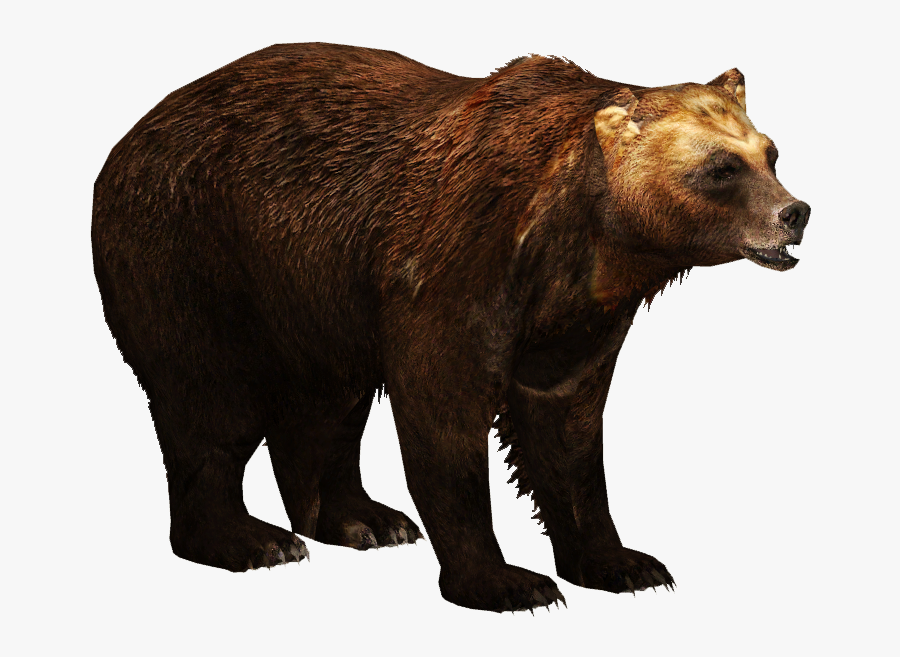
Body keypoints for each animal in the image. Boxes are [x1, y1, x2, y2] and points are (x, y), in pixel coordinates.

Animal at [92, 43, 810, 613]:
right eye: (721, 168)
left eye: (771, 153)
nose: (795, 212)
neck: (587, 232)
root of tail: (128, 138)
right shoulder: (458, 262)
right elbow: (446, 414)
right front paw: (509, 582)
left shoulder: (581, 311)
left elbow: (565, 427)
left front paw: (625, 562)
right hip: (193, 250)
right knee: (213, 399)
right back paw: (252, 539)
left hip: (315, 295)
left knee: (326, 404)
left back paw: (363, 520)